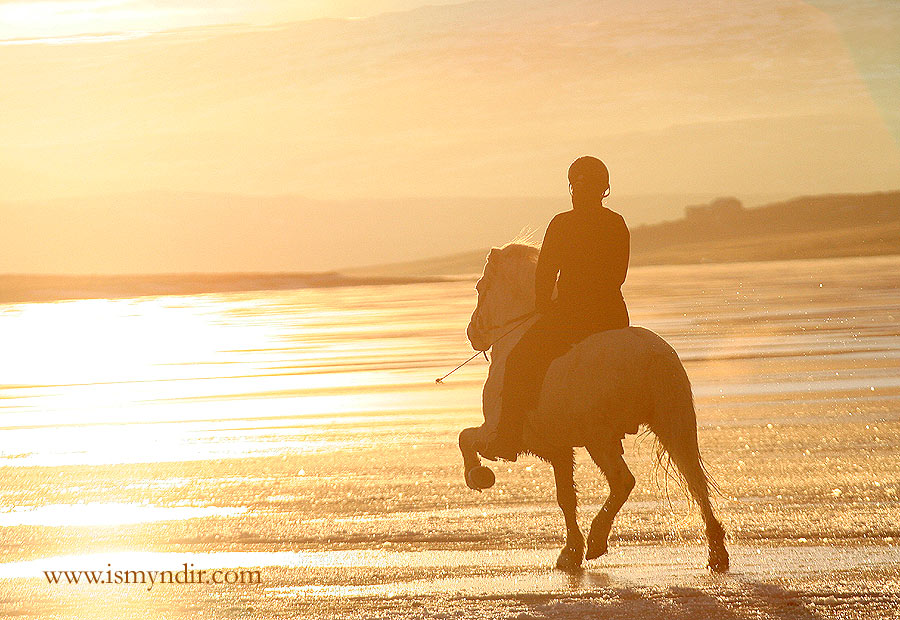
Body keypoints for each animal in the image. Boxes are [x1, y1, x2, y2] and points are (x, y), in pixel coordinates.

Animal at [460, 241, 728, 572]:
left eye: (479, 287)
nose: (472, 333)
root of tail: (650, 354)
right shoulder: (559, 449)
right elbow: (566, 497)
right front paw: (570, 551)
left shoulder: (500, 433)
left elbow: (465, 438)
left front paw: (478, 476)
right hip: (672, 427)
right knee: (695, 483)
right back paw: (716, 553)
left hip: (599, 438)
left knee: (623, 481)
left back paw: (598, 539)